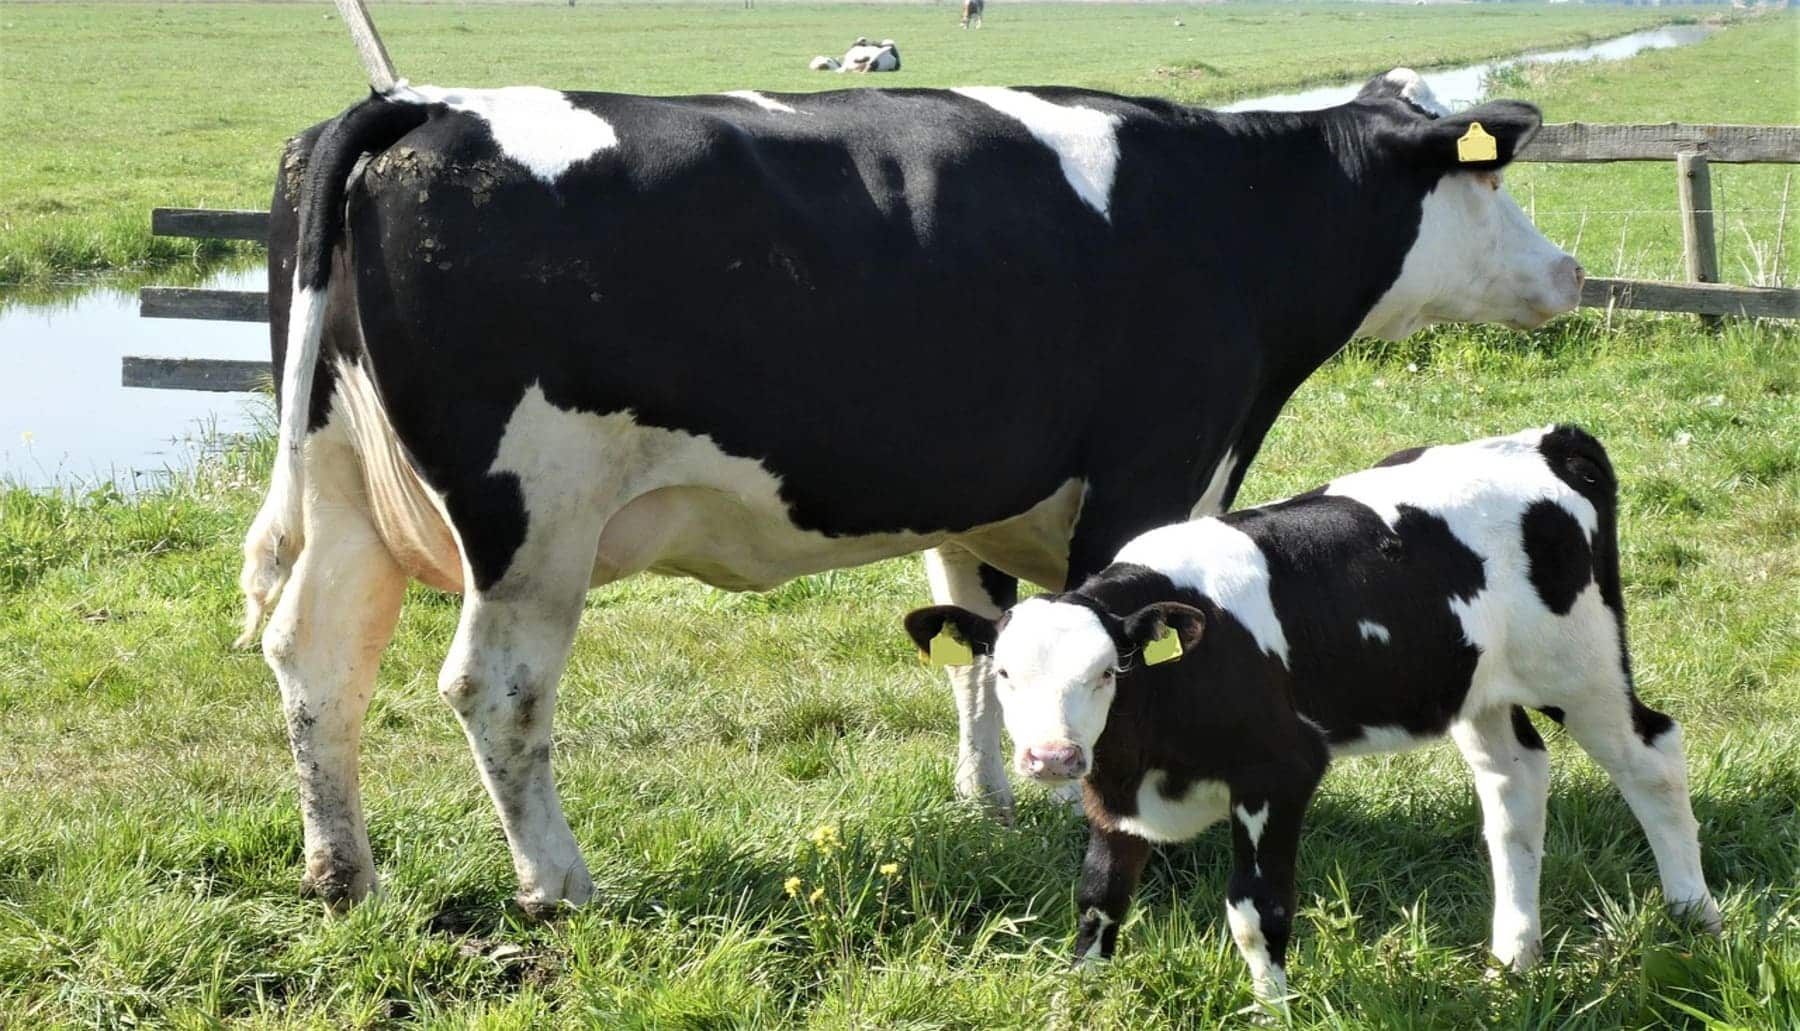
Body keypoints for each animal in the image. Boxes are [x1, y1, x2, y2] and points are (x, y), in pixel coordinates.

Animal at [242, 70, 1584, 913]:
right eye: (1487, 181)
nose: (1570, 268)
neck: (1237, 215)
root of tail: (418, 105)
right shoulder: (1156, 468)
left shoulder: (982, 493)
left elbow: (988, 643)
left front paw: (992, 800)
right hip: (533, 519)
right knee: (496, 690)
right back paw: (558, 884)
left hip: (349, 490)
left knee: (315, 659)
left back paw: (342, 871)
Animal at [903, 426, 1722, 1005]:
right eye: (1004, 674)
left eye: (1108, 671)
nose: (1052, 758)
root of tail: (1546, 441)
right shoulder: (1114, 793)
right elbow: (1099, 901)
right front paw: (1081, 1002)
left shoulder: (1279, 772)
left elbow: (1254, 910)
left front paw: (1272, 1011)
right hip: (1476, 689)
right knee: (1515, 784)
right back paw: (1512, 958)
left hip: (1582, 667)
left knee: (1652, 757)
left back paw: (1695, 917)